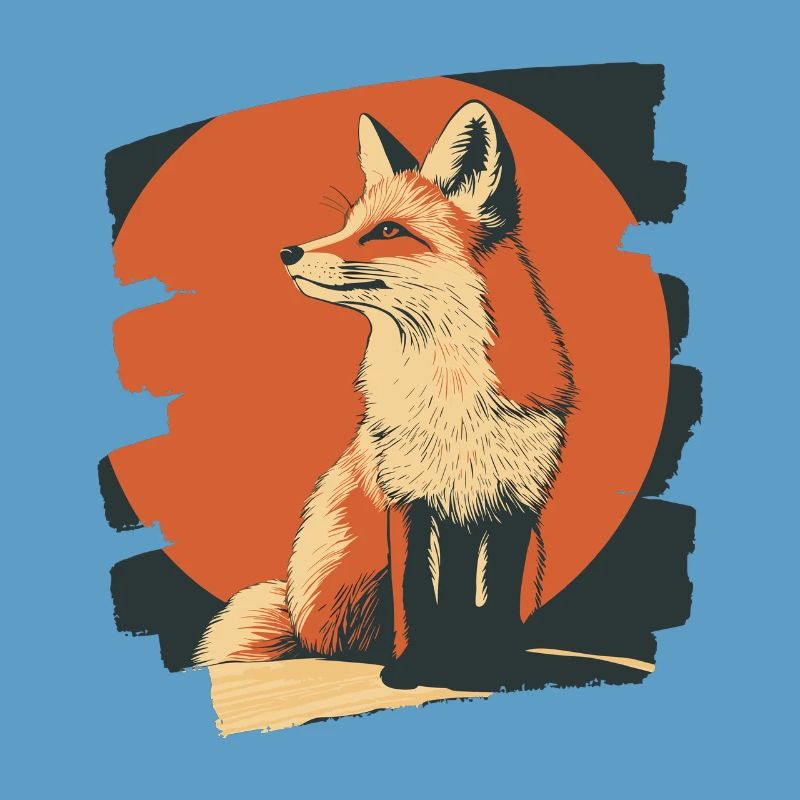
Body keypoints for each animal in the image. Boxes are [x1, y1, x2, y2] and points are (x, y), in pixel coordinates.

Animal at [194, 100, 575, 689]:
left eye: (388, 231)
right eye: (348, 225)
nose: (288, 251)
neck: (451, 400)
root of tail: (297, 618)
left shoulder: (515, 507)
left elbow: (495, 603)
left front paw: (496, 668)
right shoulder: (407, 499)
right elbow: (415, 594)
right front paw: (410, 670)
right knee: (341, 642)